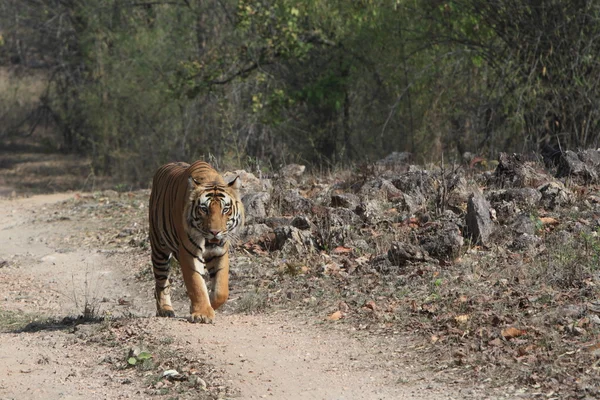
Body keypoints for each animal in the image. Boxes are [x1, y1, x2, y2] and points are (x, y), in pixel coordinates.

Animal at [149, 161, 244, 324]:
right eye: (204, 209)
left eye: (225, 209)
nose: (215, 232)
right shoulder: (189, 252)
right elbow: (196, 284)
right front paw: (202, 314)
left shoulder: (220, 252)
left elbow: (221, 290)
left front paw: (205, 306)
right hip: (159, 247)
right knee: (161, 282)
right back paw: (165, 309)